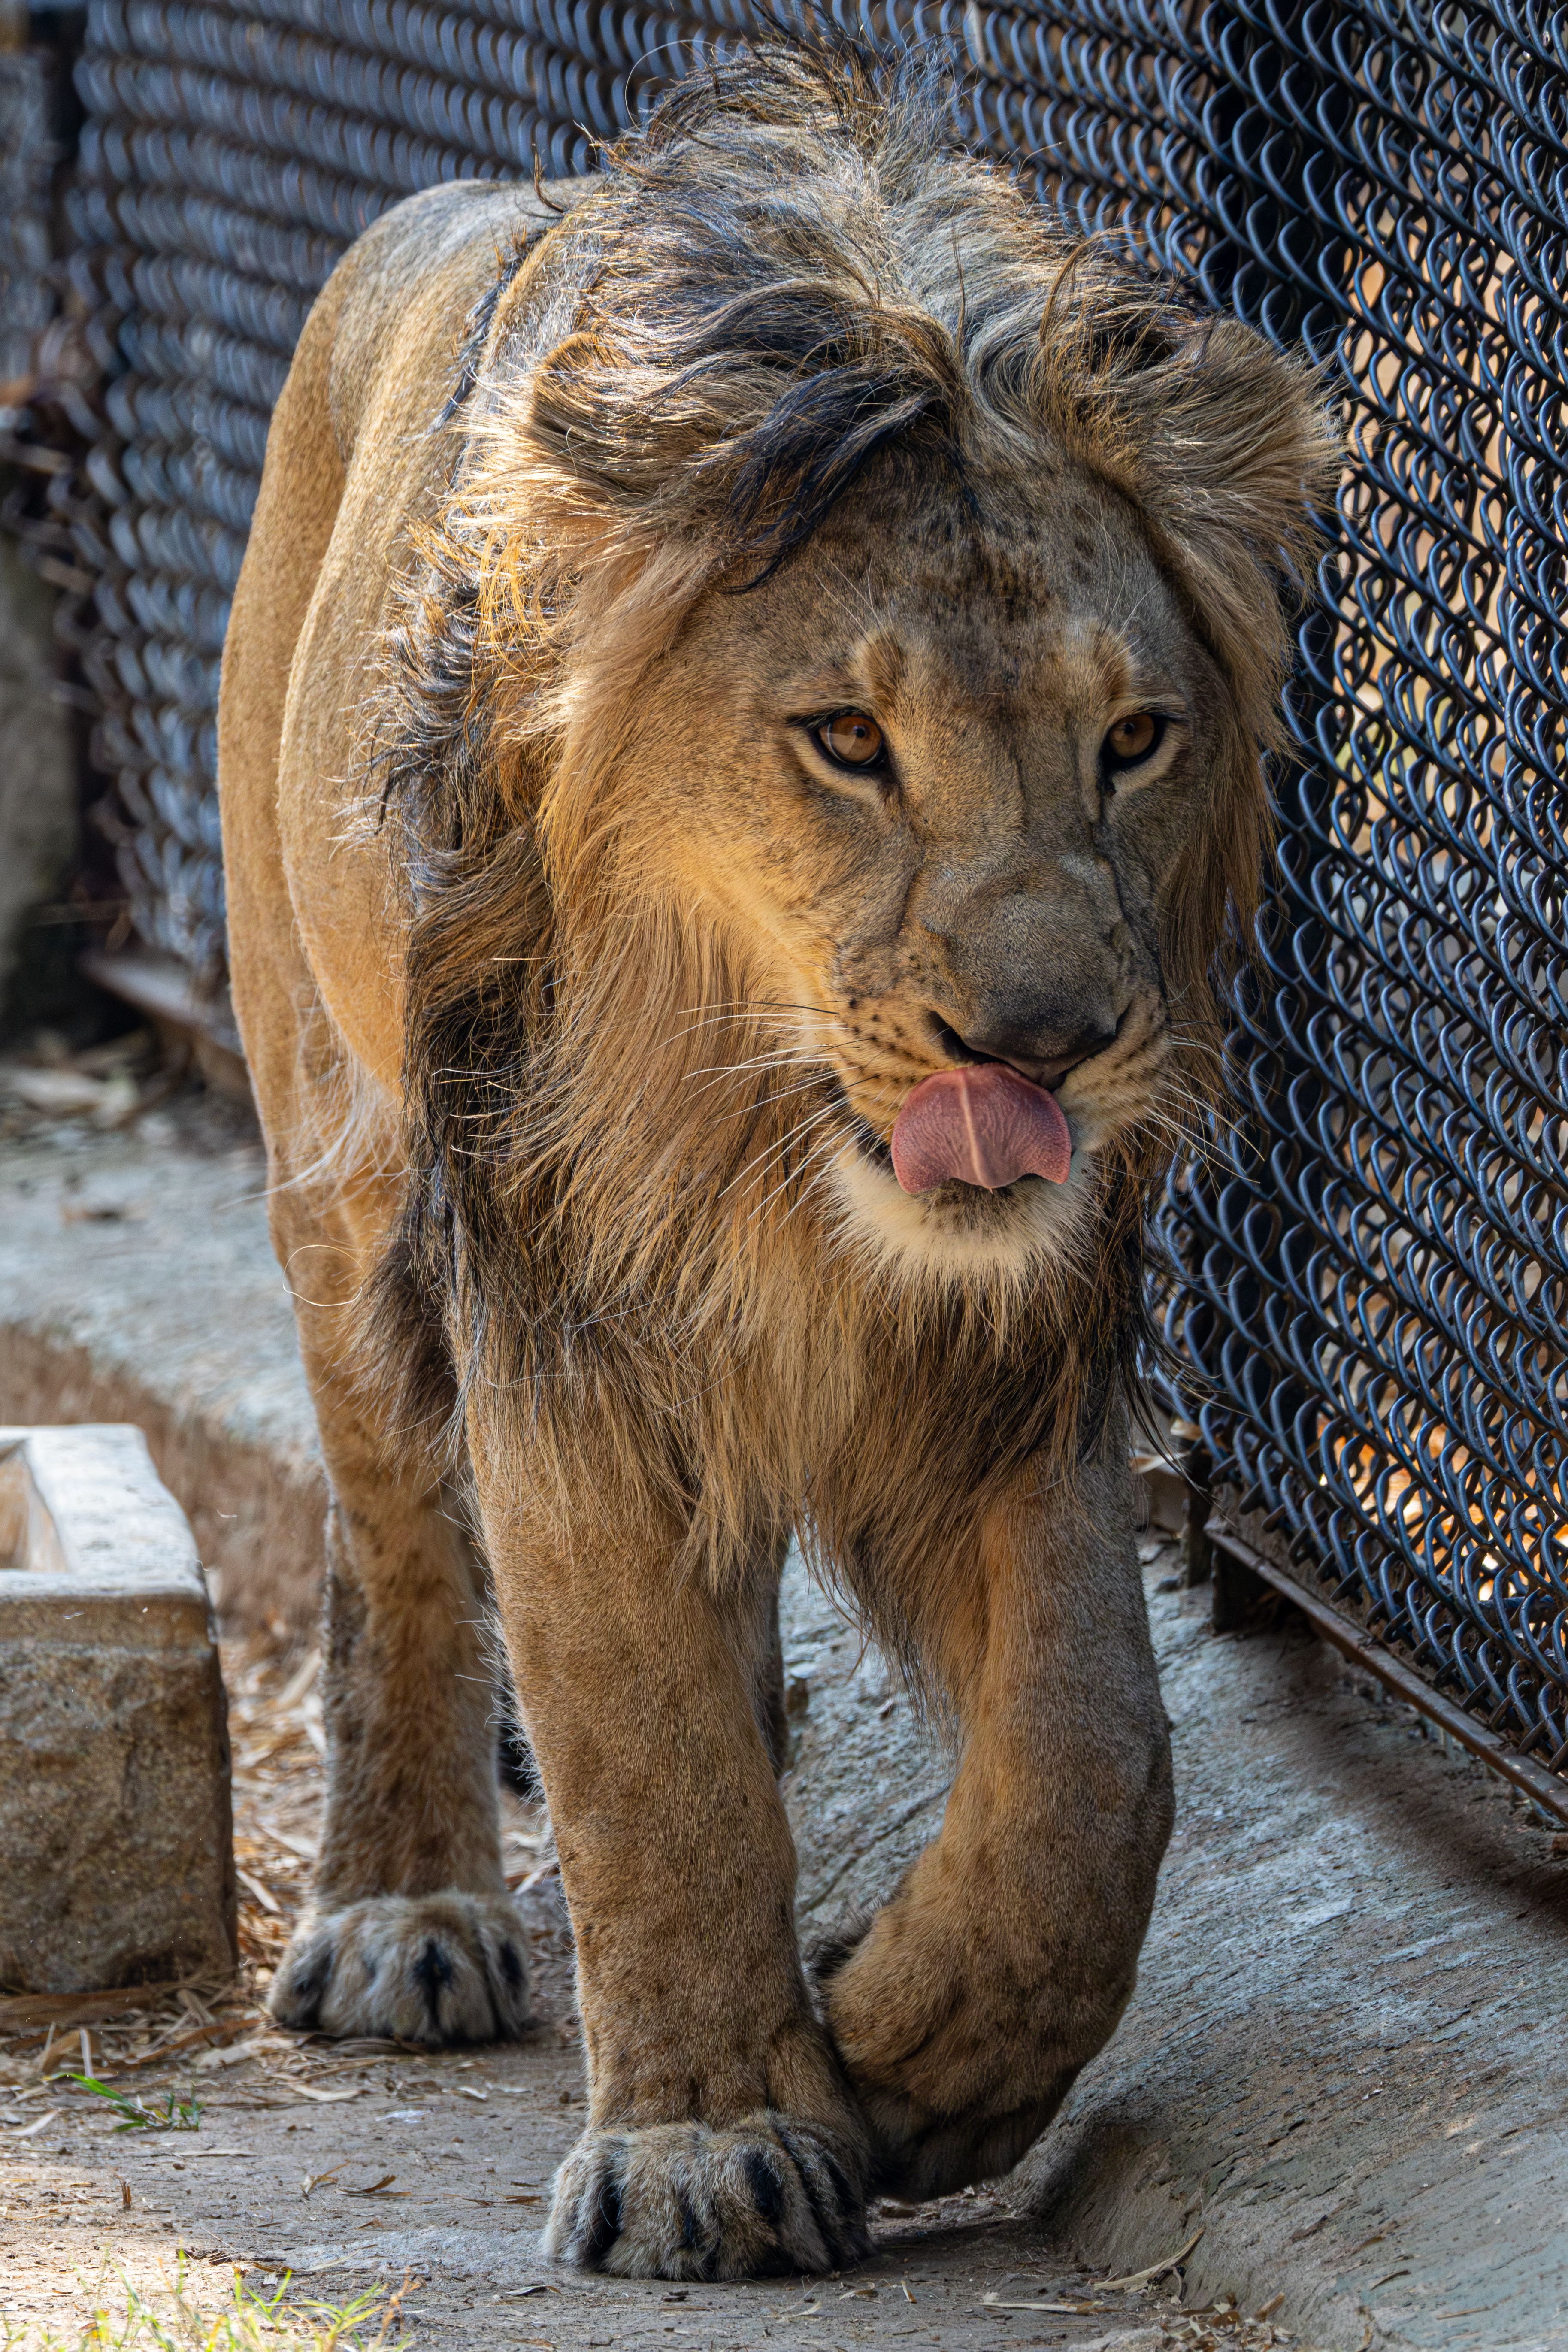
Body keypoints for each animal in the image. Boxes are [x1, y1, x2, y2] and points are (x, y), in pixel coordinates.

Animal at [218, 44, 1334, 2282]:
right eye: (843, 740)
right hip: (341, 1161)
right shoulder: (557, 1318)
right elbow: (637, 1745)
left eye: (1134, 740)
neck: (775, 1162)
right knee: (392, 1531)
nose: (1044, 1045)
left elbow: (1093, 1763)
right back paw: (402, 1908)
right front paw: (712, 2138)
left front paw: (909, 2061)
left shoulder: (1023, 1367)